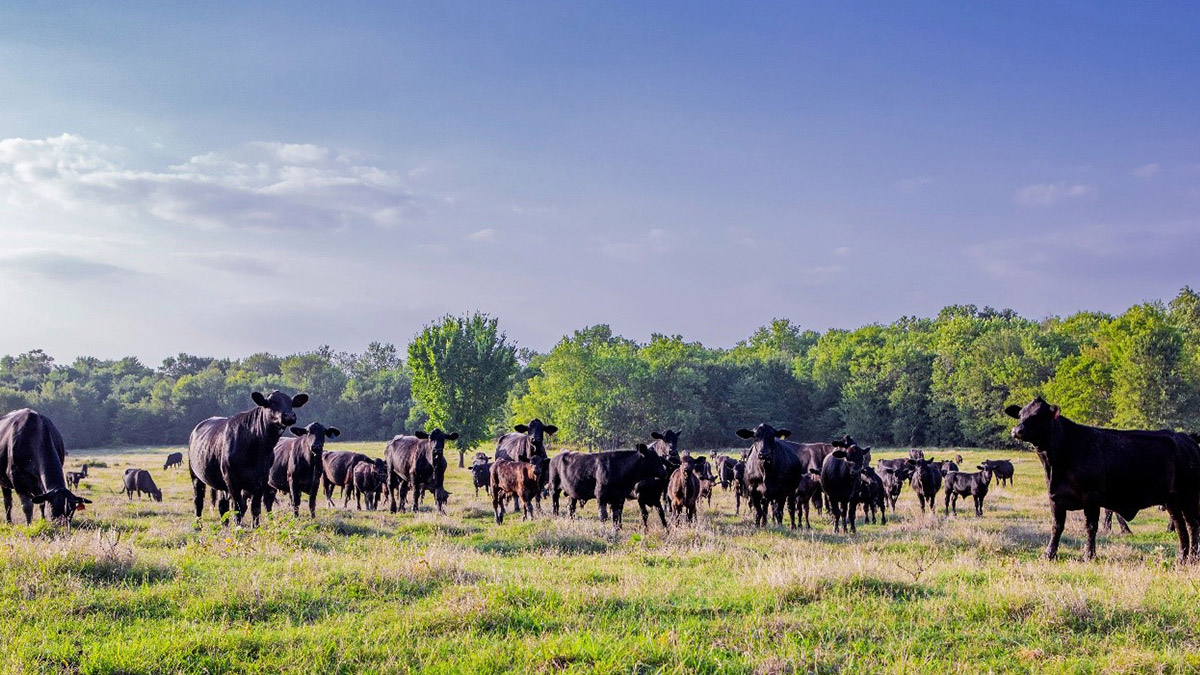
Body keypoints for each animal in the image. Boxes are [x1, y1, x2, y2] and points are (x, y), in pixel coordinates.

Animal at [188, 390, 307, 527]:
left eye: (290, 403)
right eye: (271, 402)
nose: (289, 416)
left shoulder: (261, 480)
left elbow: (255, 508)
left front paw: (255, 527)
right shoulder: (231, 479)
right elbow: (239, 507)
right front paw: (238, 528)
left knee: (222, 505)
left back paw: (225, 527)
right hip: (195, 475)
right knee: (198, 501)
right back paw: (198, 527)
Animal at [1006, 397, 1200, 561]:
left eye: (1038, 415)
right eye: (1021, 414)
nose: (1017, 430)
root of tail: (1186, 438)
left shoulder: (1091, 497)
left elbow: (1090, 527)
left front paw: (1089, 555)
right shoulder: (1054, 497)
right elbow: (1057, 526)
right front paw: (1049, 554)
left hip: (1189, 495)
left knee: (1192, 524)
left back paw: (1192, 558)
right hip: (1172, 499)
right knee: (1180, 525)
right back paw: (1182, 558)